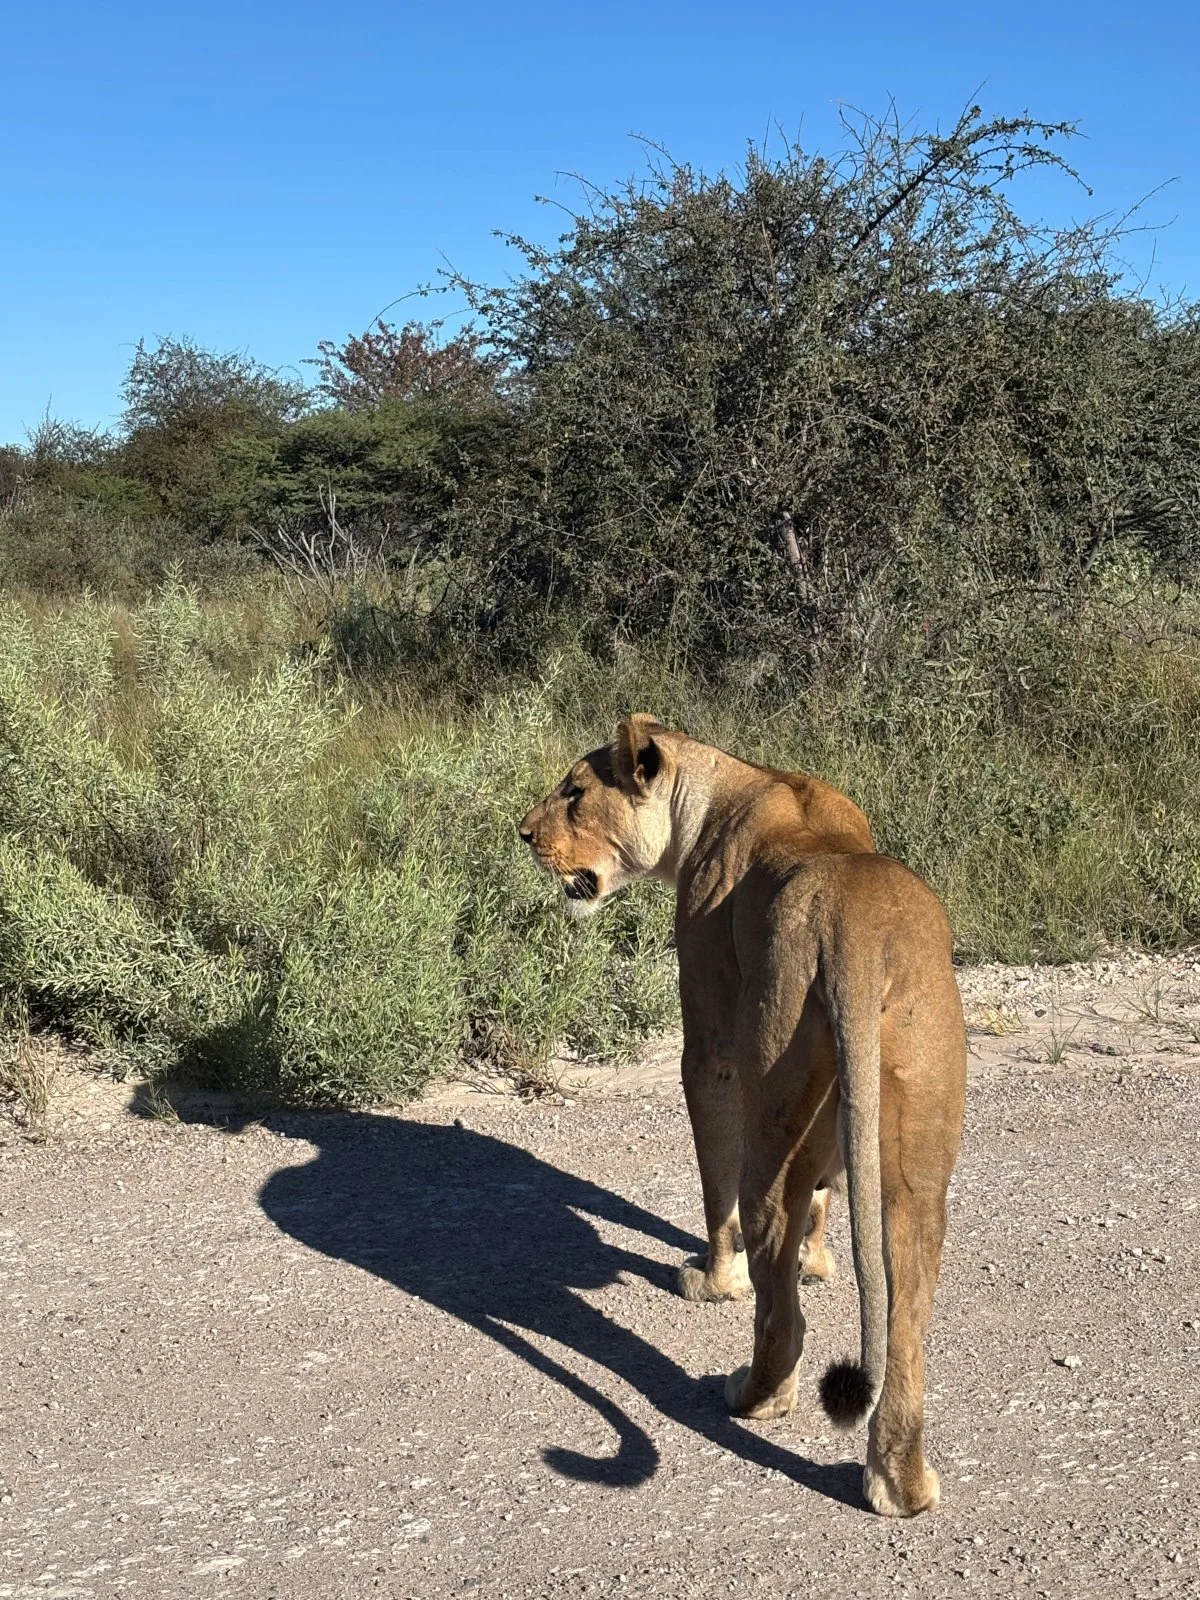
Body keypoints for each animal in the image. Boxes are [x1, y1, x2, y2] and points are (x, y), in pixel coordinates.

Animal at [518, 716, 966, 1517]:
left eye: (574, 793)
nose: (522, 832)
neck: (720, 788)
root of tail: (860, 937)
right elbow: (826, 1199)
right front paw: (820, 1263)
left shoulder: (709, 1042)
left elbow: (711, 1186)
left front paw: (713, 1280)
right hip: (919, 1151)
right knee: (905, 1303)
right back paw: (900, 1485)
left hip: (771, 1097)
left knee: (776, 1294)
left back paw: (753, 1395)